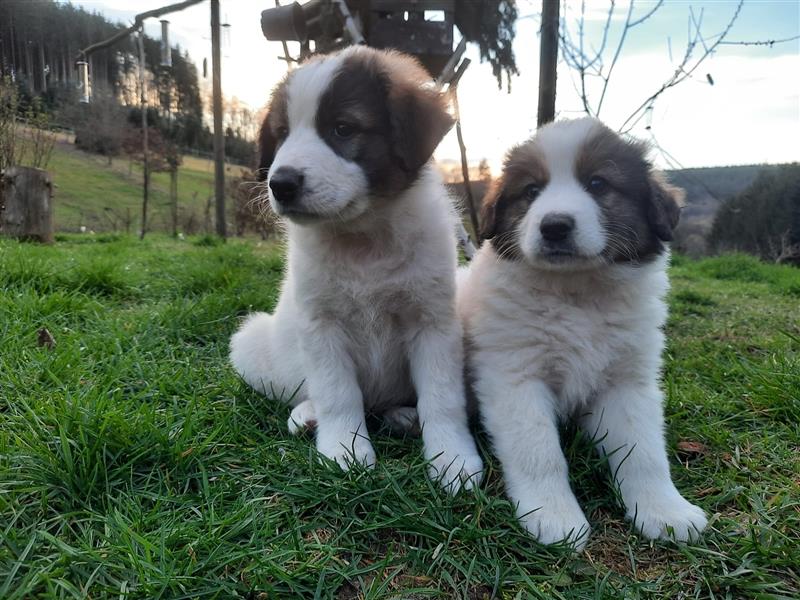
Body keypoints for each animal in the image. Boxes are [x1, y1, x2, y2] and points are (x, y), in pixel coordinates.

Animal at [231, 45, 482, 492]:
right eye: (282, 134)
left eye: (343, 128)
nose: (280, 184)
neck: (364, 239)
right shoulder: (321, 324)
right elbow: (338, 393)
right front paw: (344, 451)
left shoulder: (433, 322)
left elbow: (442, 398)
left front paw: (452, 458)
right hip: (251, 341)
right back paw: (308, 415)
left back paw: (403, 415)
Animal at [456, 116, 708, 548]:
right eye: (531, 191)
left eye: (598, 183)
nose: (554, 226)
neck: (575, 293)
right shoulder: (515, 377)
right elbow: (539, 451)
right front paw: (553, 517)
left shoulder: (627, 381)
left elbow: (645, 452)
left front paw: (665, 511)